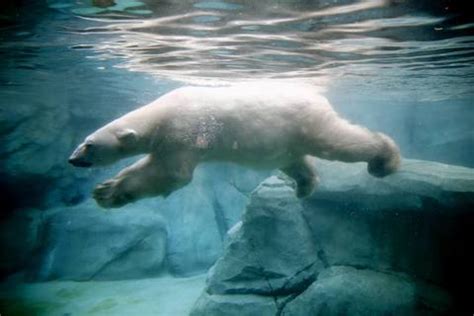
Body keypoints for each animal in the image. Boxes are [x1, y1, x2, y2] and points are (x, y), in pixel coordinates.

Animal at [67, 82, 400, 209]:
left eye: (89, 145)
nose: (72, 159)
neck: (161, 114)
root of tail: (318, 97)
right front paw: (107, 188)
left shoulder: (184, 132)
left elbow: (173, 174)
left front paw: (107, 192)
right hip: (285, 140)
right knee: (296, 162)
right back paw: (304, 186)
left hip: (305, 123)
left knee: (340, 143)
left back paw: (385, 159)